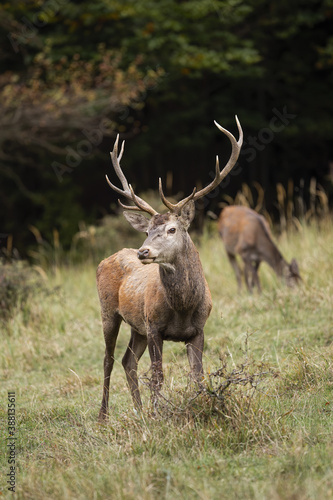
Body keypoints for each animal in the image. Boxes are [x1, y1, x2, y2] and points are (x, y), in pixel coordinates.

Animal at [96, 116, 241, 418]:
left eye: (172, 229)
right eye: (147, 231)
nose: (143, 251)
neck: (183, 307)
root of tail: (105, 259)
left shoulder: (198, 329)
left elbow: (197, 374)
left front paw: (200, 406)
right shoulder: (154, 327)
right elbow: (157, 376)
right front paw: (157, 414)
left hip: (137, 327)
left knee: (128, 361)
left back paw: (138, 412)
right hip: (109, 312)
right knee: (108, 360)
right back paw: (104, 417)